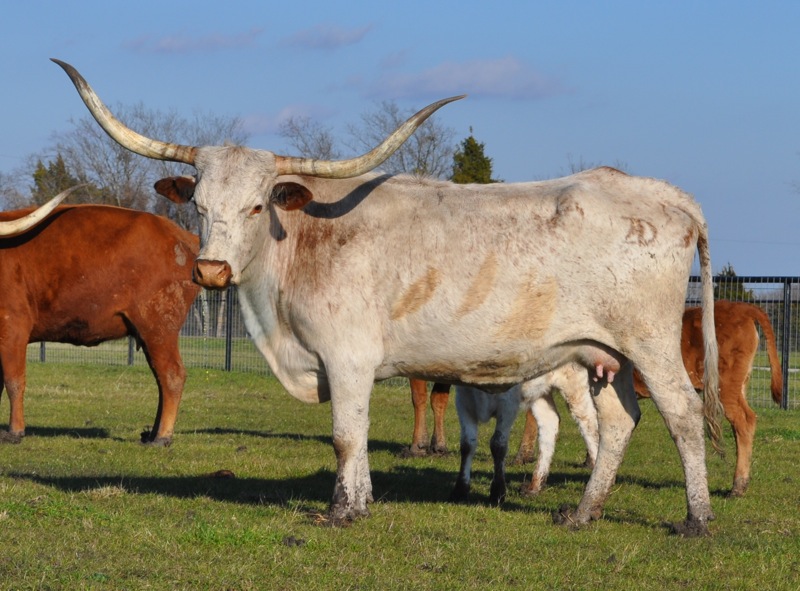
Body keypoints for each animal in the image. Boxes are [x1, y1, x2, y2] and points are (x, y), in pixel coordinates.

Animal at [0, 201, 200, 445]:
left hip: (159, 328)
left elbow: (13, 381)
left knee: (172, 376)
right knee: (161, 378)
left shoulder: (12, 328)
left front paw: (15, 431)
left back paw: (162, 437)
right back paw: (152, 433)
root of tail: (182, 236)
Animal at [53, 58, 722, 535]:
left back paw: (696, 518)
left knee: (683, 414)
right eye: (197, 203)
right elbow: (352, 437)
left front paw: (343, 511)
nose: (212, 270)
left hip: (650, 343)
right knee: (619, 421)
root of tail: (663, 194)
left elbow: (346, 435)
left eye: (257, 205)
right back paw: (583, 514)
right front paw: (361, 500)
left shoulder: (347, 358)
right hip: (602, 353)